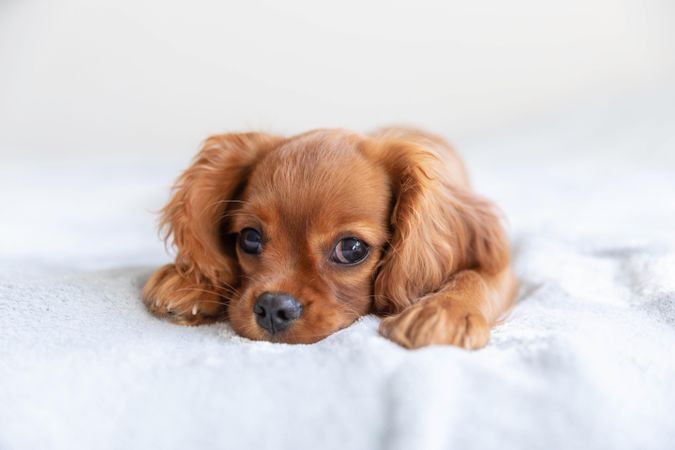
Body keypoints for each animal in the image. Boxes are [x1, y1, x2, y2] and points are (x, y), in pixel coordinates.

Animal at [144, 128, 516, 350]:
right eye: (249, 238)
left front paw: (444, 311)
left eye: (351, 248)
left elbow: (476, 277)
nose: (272, 307)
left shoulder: (503, 267)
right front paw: (191, 281)